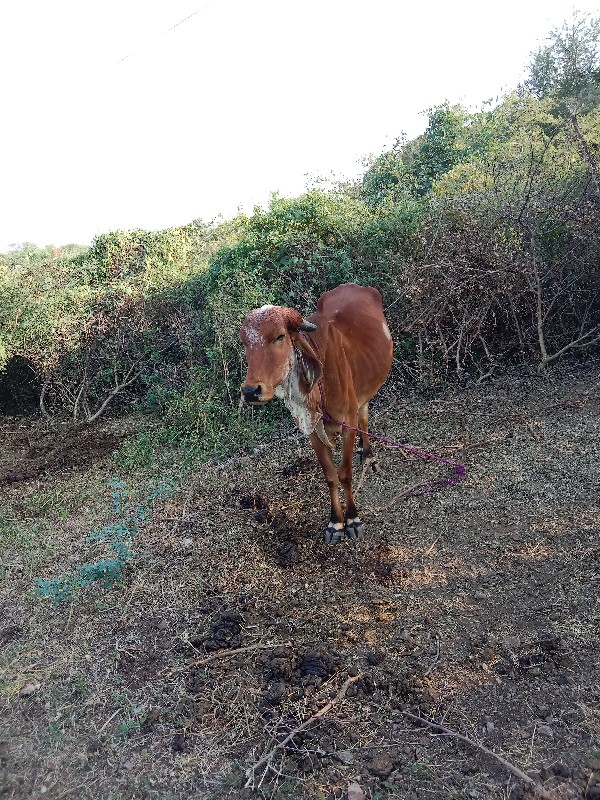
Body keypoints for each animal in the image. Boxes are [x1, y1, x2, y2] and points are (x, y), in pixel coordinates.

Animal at [239, 282, 394, 544]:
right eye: (245, 344)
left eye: (279, 336)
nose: (250, 391)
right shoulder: (311, 429)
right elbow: (330, 476)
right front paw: (336, 522)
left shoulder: (348, 422)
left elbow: (345, 473)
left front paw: (352, 519)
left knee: (364, 415)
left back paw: (368, 455)